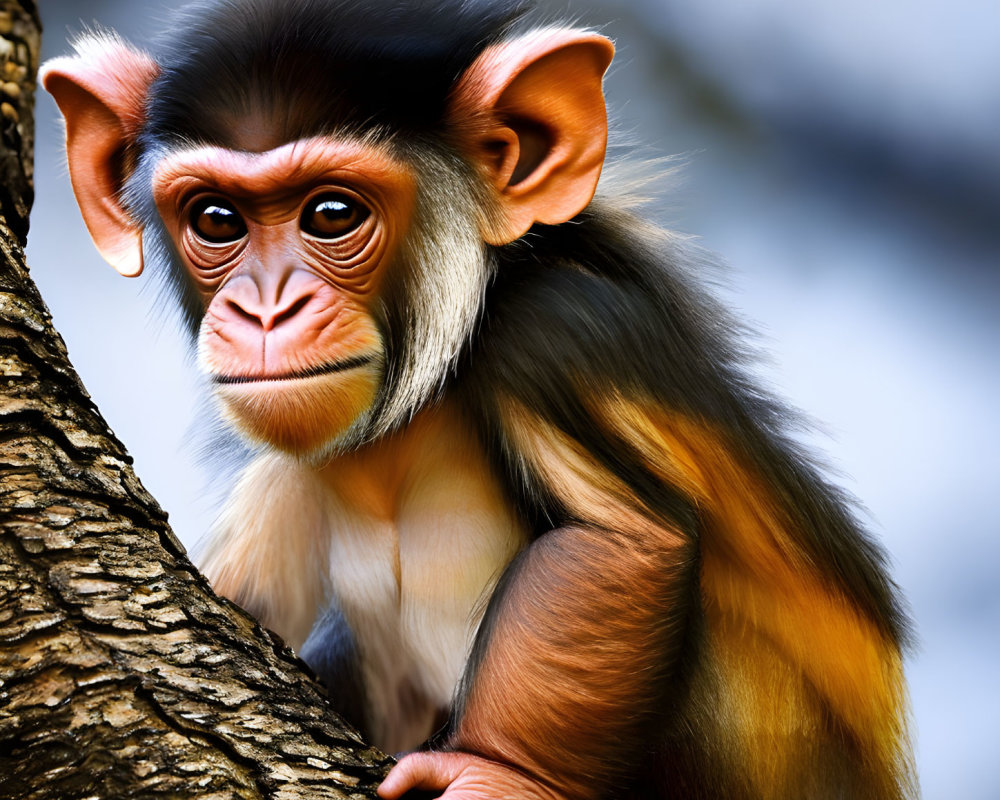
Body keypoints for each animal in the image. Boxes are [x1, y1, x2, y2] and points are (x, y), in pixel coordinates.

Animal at [41, 0, 916, 796]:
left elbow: (618, 537)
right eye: (218, 219)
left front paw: (504, 775)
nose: (267, 310)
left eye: (332, 213)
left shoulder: (556, 330)